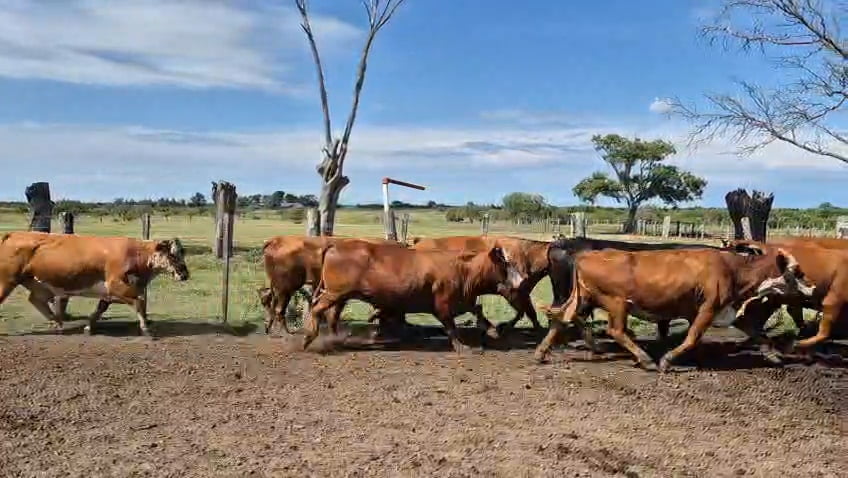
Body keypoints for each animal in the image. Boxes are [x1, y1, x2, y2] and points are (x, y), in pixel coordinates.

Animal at [0, 231, 189, 336]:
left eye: (182, 252)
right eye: (172, 254)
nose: (185, 274)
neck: (136, 254)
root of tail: (13, 235)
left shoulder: (110, 291)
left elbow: (101, 309)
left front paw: (88, 327)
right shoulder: (116, 285)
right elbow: (140, 303)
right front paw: (146, 329)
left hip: (37, 284)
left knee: (36, 300)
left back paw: (57, 323)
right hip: (7, 281)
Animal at [259, 235, 407, 336]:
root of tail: (276, 240)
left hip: (278, 286)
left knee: (268, 300)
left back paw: (268, 328)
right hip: (286, 287)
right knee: (279, 309)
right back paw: (287, 333)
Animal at [306, 240, 526, 353]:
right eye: (505, 263)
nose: (523, 279)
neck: (463, 270)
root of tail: (335, 245)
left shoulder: (464, 300)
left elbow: (478, 311)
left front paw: (493, 331)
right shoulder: (442, 304)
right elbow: (451, 327)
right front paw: (461, 347)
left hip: (339, 296)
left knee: (331, 316)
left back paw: (335, 339)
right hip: (334, 293)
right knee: (316, 310)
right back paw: (309, 337)